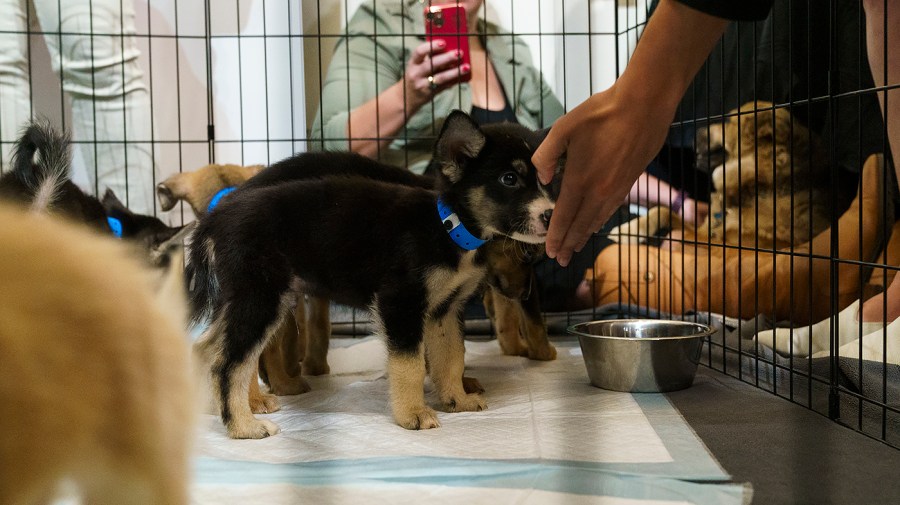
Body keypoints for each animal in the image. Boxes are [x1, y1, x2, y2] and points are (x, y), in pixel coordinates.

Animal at [190, 110, 556, 438]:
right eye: (509, 179)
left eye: (545, 181)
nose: (551, 215)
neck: (446, 227)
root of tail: (216, 217)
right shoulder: (400, 302)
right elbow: (410, 365)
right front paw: (413, 415)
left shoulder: (445, 310)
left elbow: (452, 357)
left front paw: (457, 400)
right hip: (261, 297)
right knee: (230, 362)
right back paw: (243, 425)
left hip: (249, 298)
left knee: (211, 350)